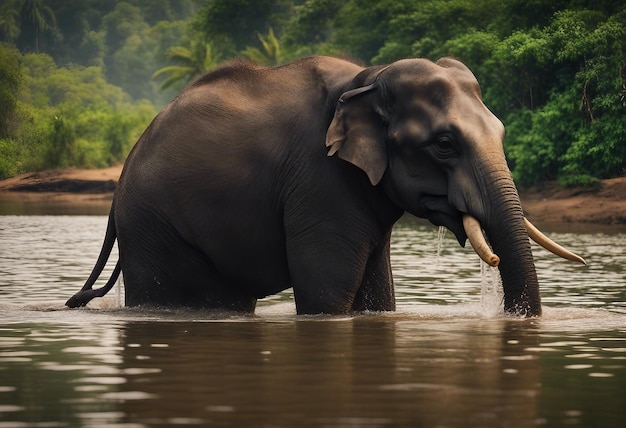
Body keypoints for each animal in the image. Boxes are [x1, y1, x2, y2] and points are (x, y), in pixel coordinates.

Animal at [66, 55, 584, 316]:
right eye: (443, 144)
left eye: (500, 131)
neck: (368, 78)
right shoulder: (319, 181)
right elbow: (326, 292)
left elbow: (379, 294)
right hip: (155, 229)